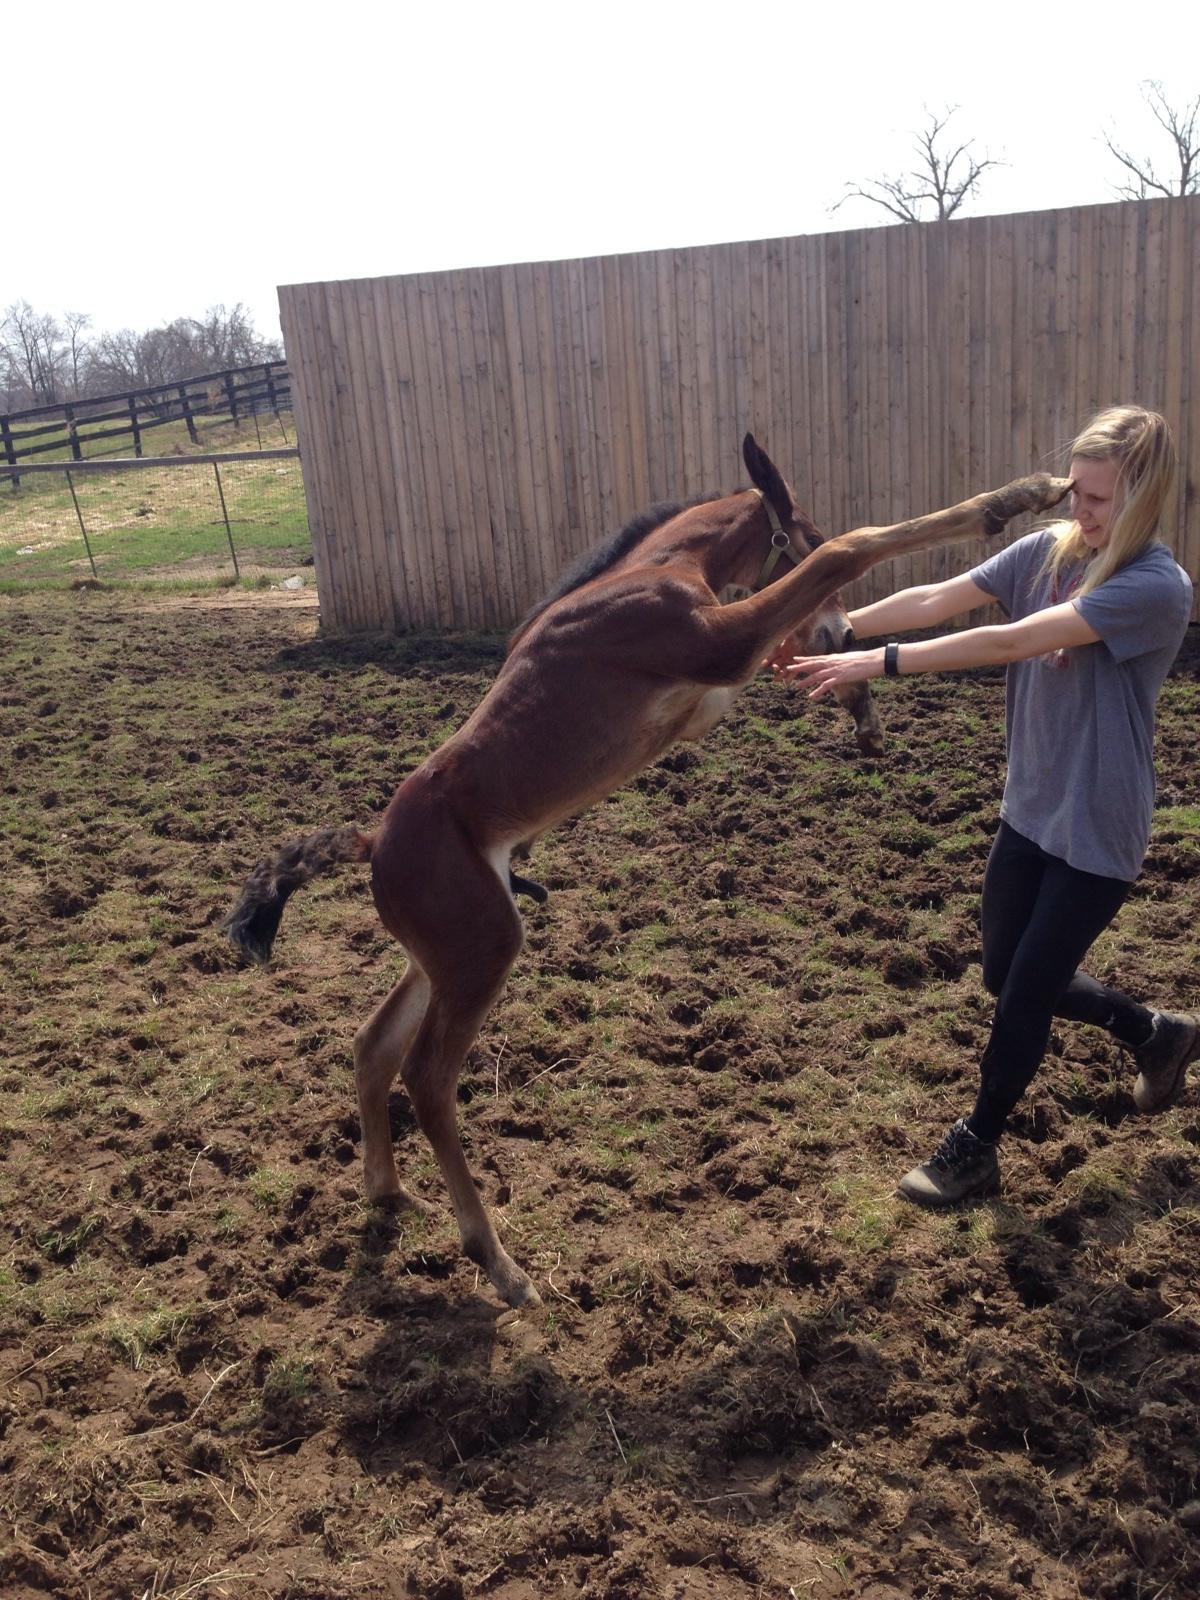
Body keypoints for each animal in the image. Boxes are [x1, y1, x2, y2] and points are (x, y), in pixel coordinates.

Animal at [224, 435, 1069, 1307]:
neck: (654, 570)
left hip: (444, 955)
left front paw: (862, 712)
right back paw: (497, 1261)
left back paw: (390, 1192)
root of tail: (373, 843)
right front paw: (1019, 496)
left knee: (372, 1046)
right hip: (483, 950)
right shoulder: (717, 643)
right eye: (800, 528)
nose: (843, 630)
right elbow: (850, 549)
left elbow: (796, 644)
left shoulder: (718, 677)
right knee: (427, 1080)